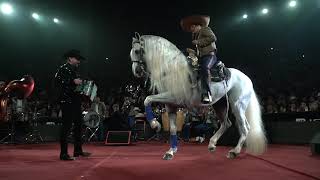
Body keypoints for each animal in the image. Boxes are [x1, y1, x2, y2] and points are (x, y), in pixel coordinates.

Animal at [129, 33, 266, 160]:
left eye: (137, 51)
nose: (136, 71)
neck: (172, 70)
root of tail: (247, 78)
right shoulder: (170, 107)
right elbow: (172, 129)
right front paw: (171, 151)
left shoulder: (172, 97)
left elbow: (148, 99)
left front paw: (155, 124)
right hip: (220, 104)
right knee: (226, 123)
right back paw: (212, 144)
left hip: (238, 105)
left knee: (245, 128)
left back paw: (234, 151)